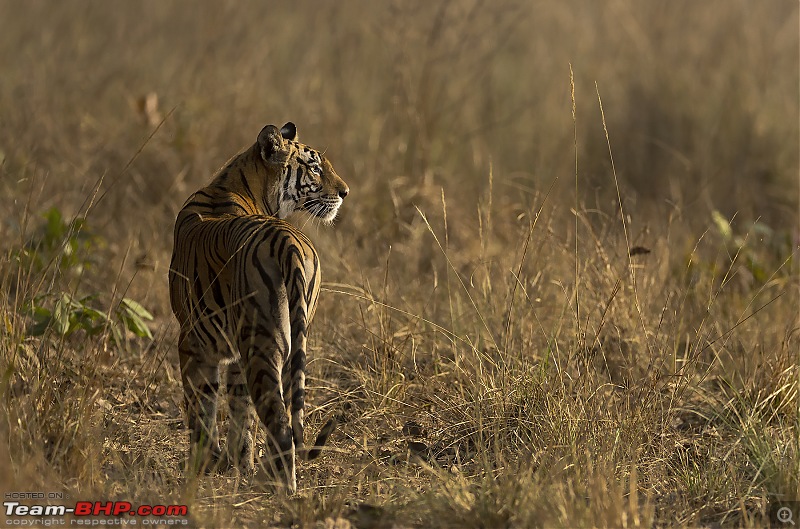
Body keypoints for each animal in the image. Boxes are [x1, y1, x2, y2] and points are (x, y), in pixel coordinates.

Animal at [167, 120, 346, 490]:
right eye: (315, 168)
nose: (345, 192)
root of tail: (287, 240)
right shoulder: (233, 351)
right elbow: (240, 410)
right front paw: (238, 463)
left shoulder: (192, 343)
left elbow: (202, 409)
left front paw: (202, 466)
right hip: (288, 338)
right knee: (285, 413)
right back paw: (268, 478)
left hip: (261, 343)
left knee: (279, 421)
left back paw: (280, 488)